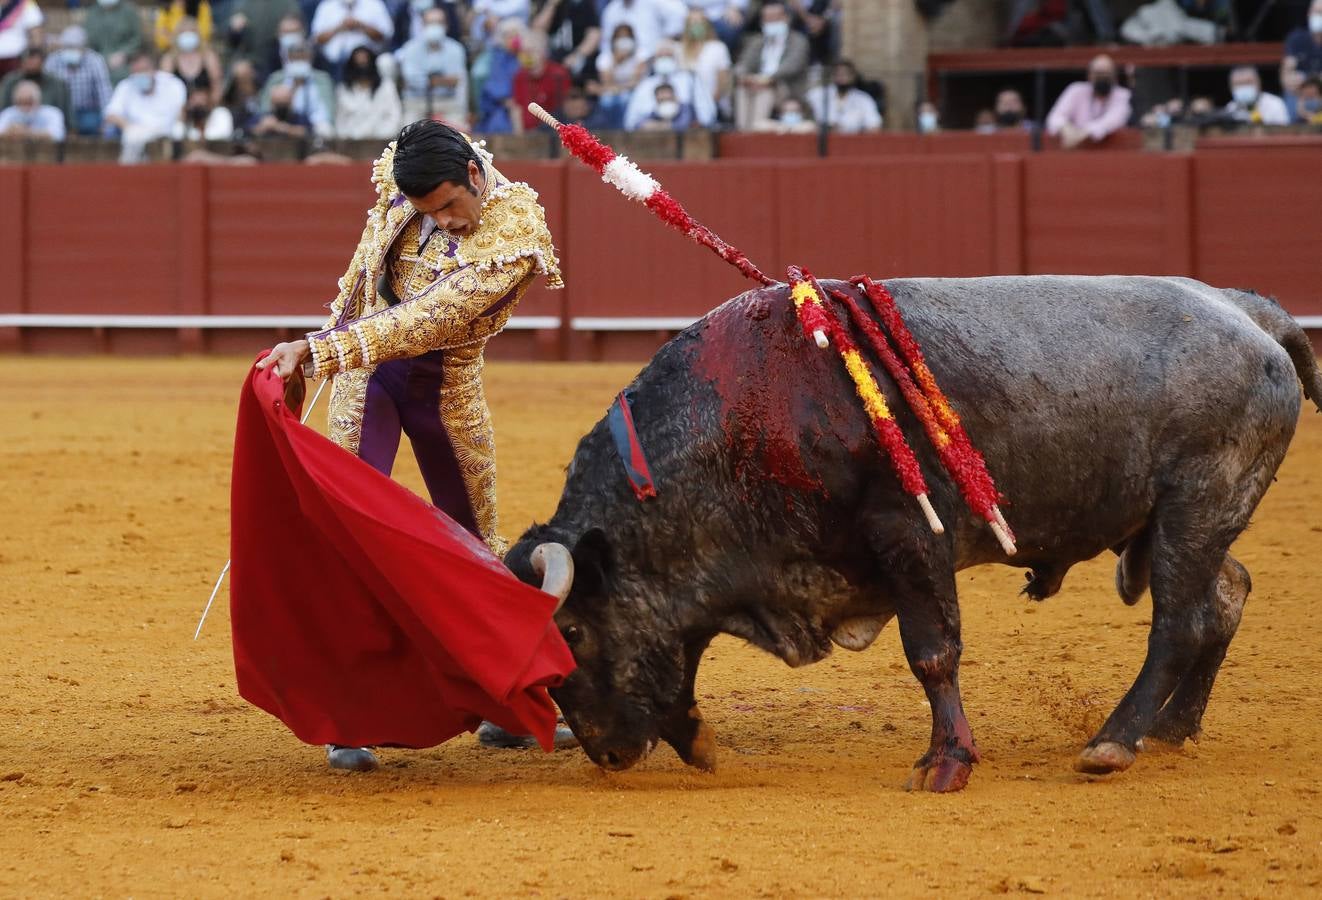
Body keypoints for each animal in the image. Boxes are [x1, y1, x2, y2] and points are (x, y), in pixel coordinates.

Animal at [507, 270, 1322, 787]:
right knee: (1226, 595)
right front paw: (699, 742)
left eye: (570, 630)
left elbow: (932, 652)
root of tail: (1248, 311)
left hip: (1196, 505)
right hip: (1174, 525)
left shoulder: (909, 534)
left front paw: (947, 763)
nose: (607, 755)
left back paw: (1114, 741)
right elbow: (682, 660)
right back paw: (1173, 728)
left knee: (1180, 622)